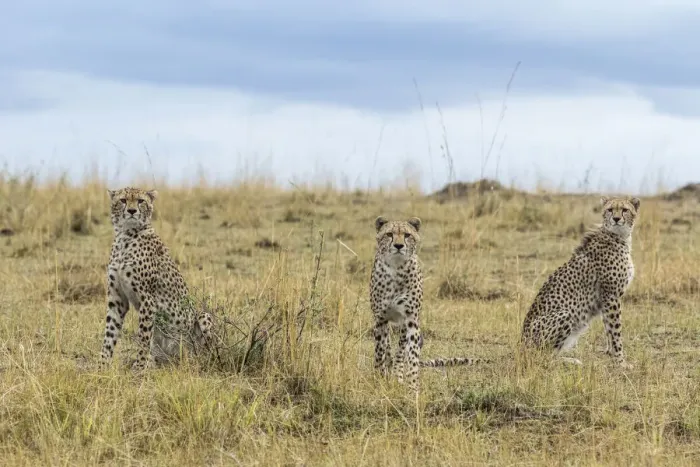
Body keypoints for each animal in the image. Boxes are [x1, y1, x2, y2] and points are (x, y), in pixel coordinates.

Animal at [99, 187, 213, 371]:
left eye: (140, 201)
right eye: (123, 200)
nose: (132, 211)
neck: (125, 236)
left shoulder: (148, 299)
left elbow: (143, 338)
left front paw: (139, 368)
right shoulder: (117, 300)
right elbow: (110, 334)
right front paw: (101, 366)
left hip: (203, 318)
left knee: (205, 351)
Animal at [370, 216, 484, 391]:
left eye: (407, 235)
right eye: (389, 234)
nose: (398, 246)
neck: (396, 267)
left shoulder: (410, 319)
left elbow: (411, 355)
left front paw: (412, 386)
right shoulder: (380, 318)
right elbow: (380, 351)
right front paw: (379, 378)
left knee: (400, 351)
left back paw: (398, 375)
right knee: (388, 347)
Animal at [521, 195, 641, 369]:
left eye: (625, 210)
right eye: (610, 210)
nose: (616, 219)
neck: (618, 236)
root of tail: (521, 345)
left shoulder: (606, 298)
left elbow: (609, 328)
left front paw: (610, 354)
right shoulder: (611, 295)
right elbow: (616, 331)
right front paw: (620, 361)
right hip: (565, 314)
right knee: (543, 357)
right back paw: (570, 361)